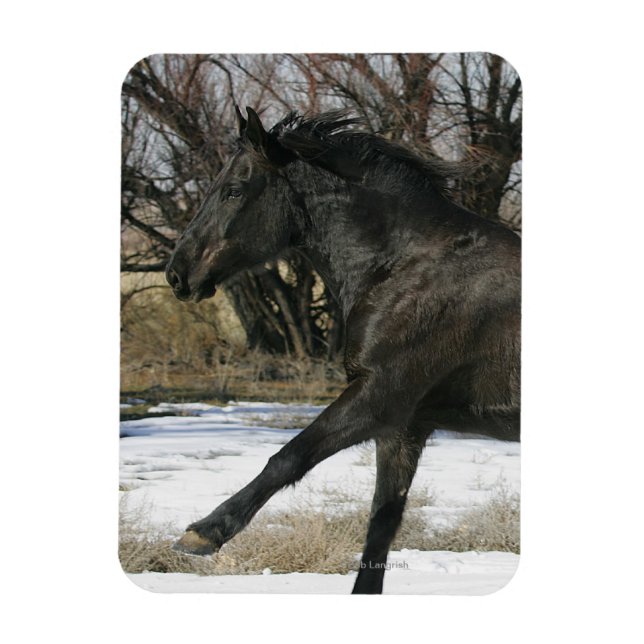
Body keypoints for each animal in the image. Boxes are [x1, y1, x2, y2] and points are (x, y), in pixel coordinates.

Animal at [165, 107, 521, 594]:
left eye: (234, 189)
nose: (177, 274)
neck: (406, 267)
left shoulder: (377, 398)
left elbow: (288, 458)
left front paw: (203, 533)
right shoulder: (404, 428)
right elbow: (379, 530)